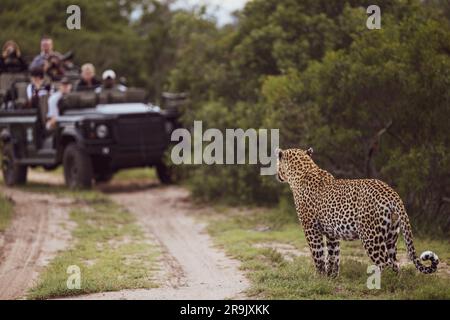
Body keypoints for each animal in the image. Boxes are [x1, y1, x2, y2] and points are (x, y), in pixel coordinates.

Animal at [276, 146, 438, 276]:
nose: (277, 173)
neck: (302, 171)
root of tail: (392, 194)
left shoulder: (311, 229)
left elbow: (318, 255)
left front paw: (318, 276)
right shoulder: (332, 233)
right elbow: (333, 256)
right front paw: (331, 277)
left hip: (371, 237)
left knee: (386, 264)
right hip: (391, 236)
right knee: (395, 265)